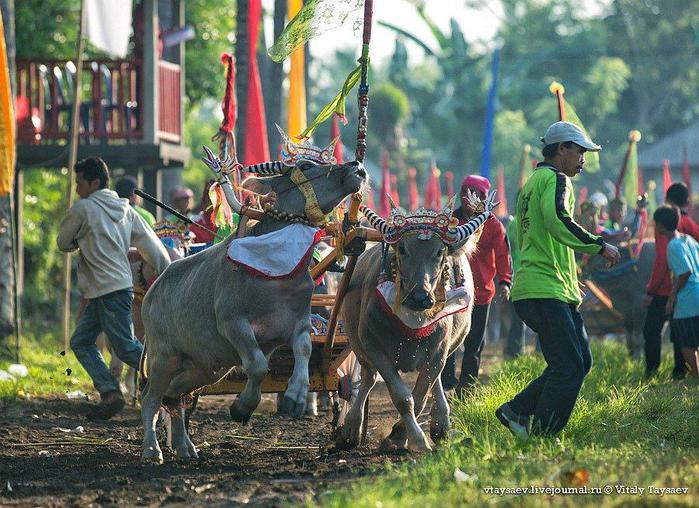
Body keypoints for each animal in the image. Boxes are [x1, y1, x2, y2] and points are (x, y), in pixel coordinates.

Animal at [137, 150, 366, 460]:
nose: (357, 167)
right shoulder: (233, 325)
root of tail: (153, 290)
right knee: (151, 398)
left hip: (204, 367)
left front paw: (294, 398)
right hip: (163, 357)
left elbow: (304, 351)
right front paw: (242, 406)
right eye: (306, 166)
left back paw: (185, 447)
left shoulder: (298, 324)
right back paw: (152, 448)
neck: (275, 273)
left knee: (176, 397)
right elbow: (257, 366)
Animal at [334, 193, 494, 452]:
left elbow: (420, 397)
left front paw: (401, 435)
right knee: (367, 380)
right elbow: (402, 397)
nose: (420, 297)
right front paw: (413, 438)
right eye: (402, 248)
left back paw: (440, 424)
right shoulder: (374, 348)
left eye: (439, 251)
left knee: (435, 382)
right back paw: (350, 428)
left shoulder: (438, 352)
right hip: (358, 345)